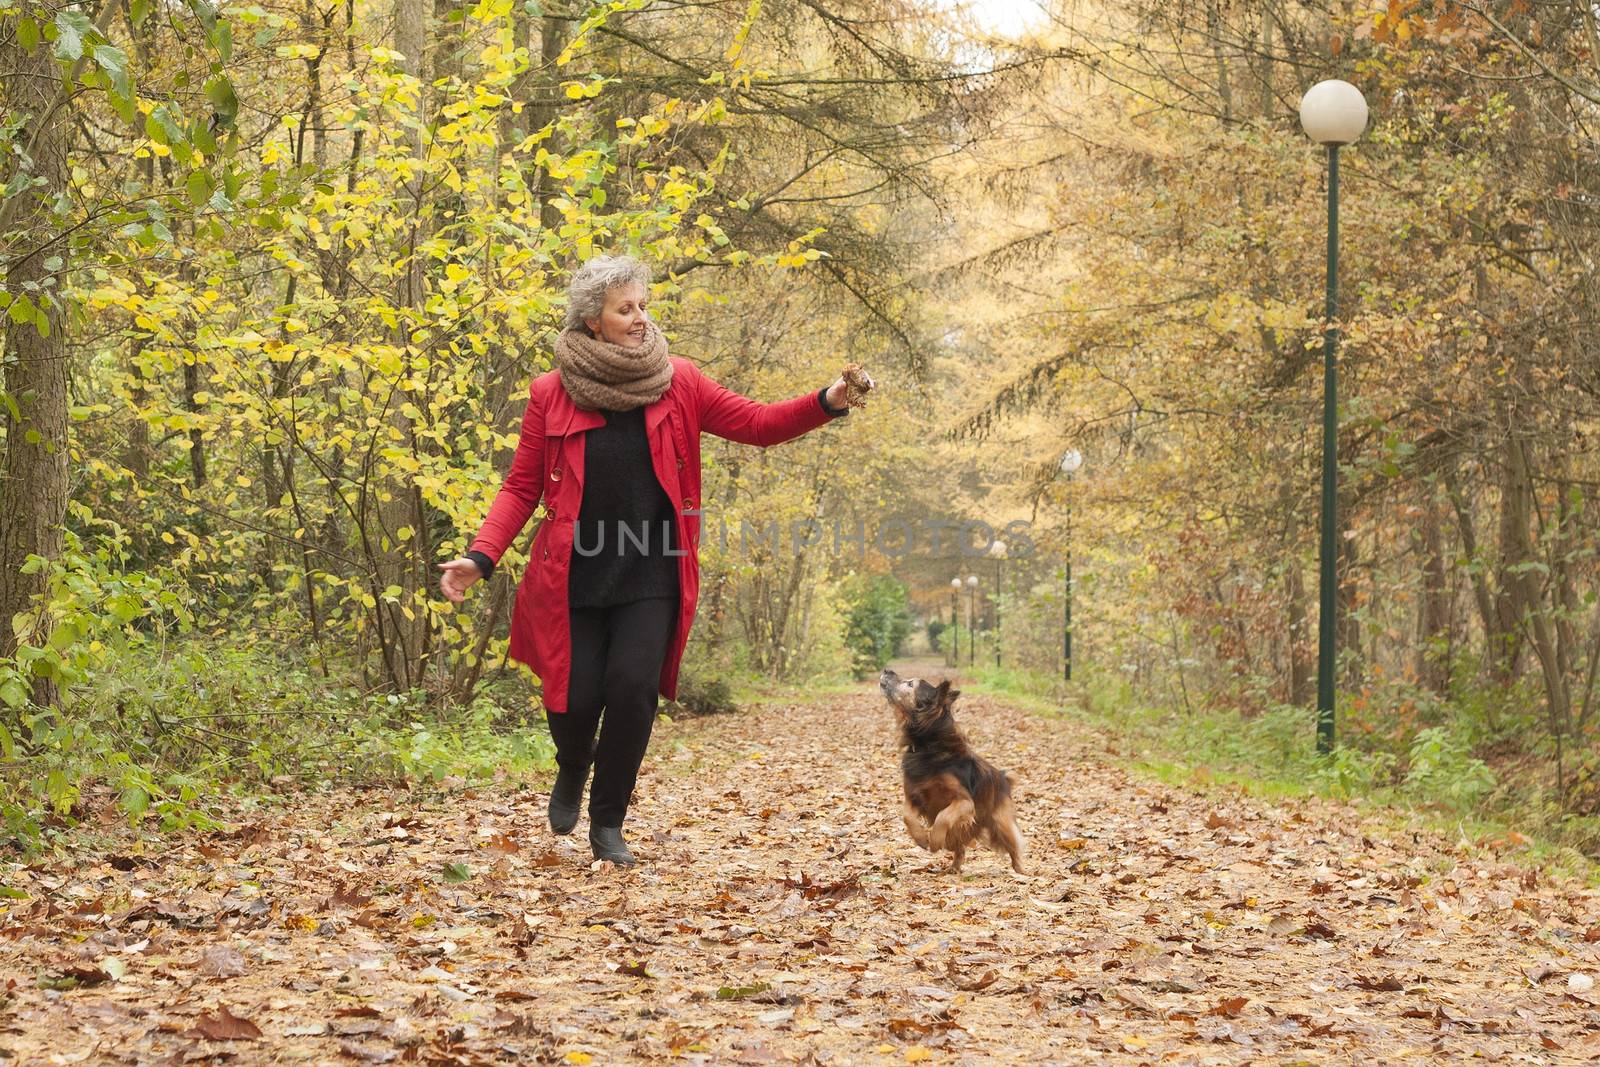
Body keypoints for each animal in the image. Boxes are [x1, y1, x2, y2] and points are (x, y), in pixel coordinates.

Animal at [876, 668, 1024, 876]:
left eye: (910, 684)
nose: (886, 670)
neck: (929, 745)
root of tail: (1004, 778)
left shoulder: (964, 802)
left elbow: (943, 818)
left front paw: (935, 841)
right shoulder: (914, 797)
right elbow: (907, 817)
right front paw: (922, 839)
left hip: (1000, 824)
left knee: (1014, 848)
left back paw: (1022, 873)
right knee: (960, 849)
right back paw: (953, 867)